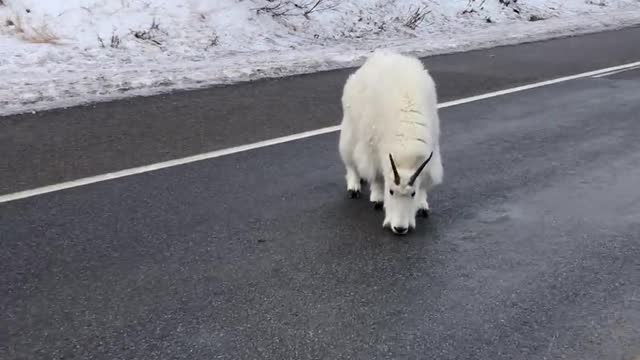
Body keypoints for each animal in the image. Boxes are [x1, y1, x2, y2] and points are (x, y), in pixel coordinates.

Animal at [338, 50, 442, 236]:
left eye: (412, 193)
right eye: (391, 191)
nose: (399, 228)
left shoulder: (431, 155)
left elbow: (424, 182)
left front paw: (422, 206)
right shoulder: (372, 150)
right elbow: (377, 176)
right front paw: (377, 199)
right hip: (350, 130)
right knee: (350, 161)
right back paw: (354, 186)